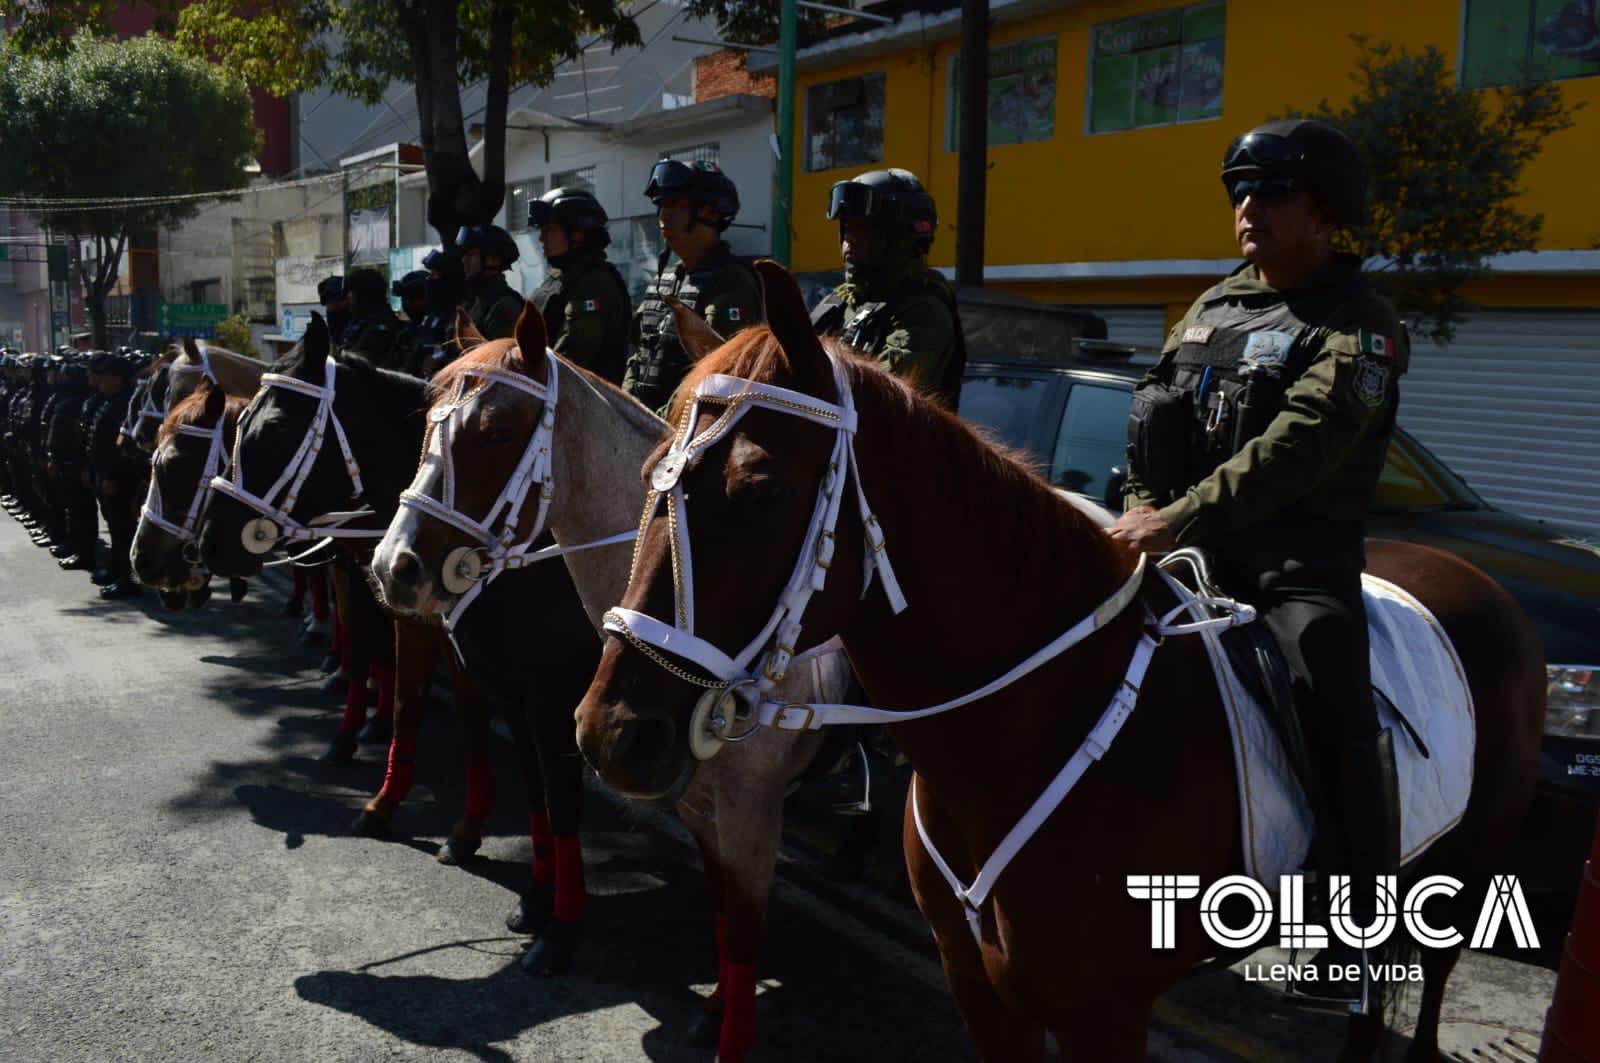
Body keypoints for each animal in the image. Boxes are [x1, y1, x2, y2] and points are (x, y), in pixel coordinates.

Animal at [198, 313, 601, 973]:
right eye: (240, 424)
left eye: (274, 428)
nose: (210, 541)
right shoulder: (468, 657)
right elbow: (418, 708)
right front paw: (388, 803)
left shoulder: (546, 692)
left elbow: (549, 788)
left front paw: (555, 923)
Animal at [576, 259, 1548, 1063]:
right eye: (653, 469)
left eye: (759, 487)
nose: (613, 733)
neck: (1030, 721)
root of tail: (1487, 586)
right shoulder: (980, 981)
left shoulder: (1100, 1012)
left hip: (1471, 864)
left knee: (1424, 987)